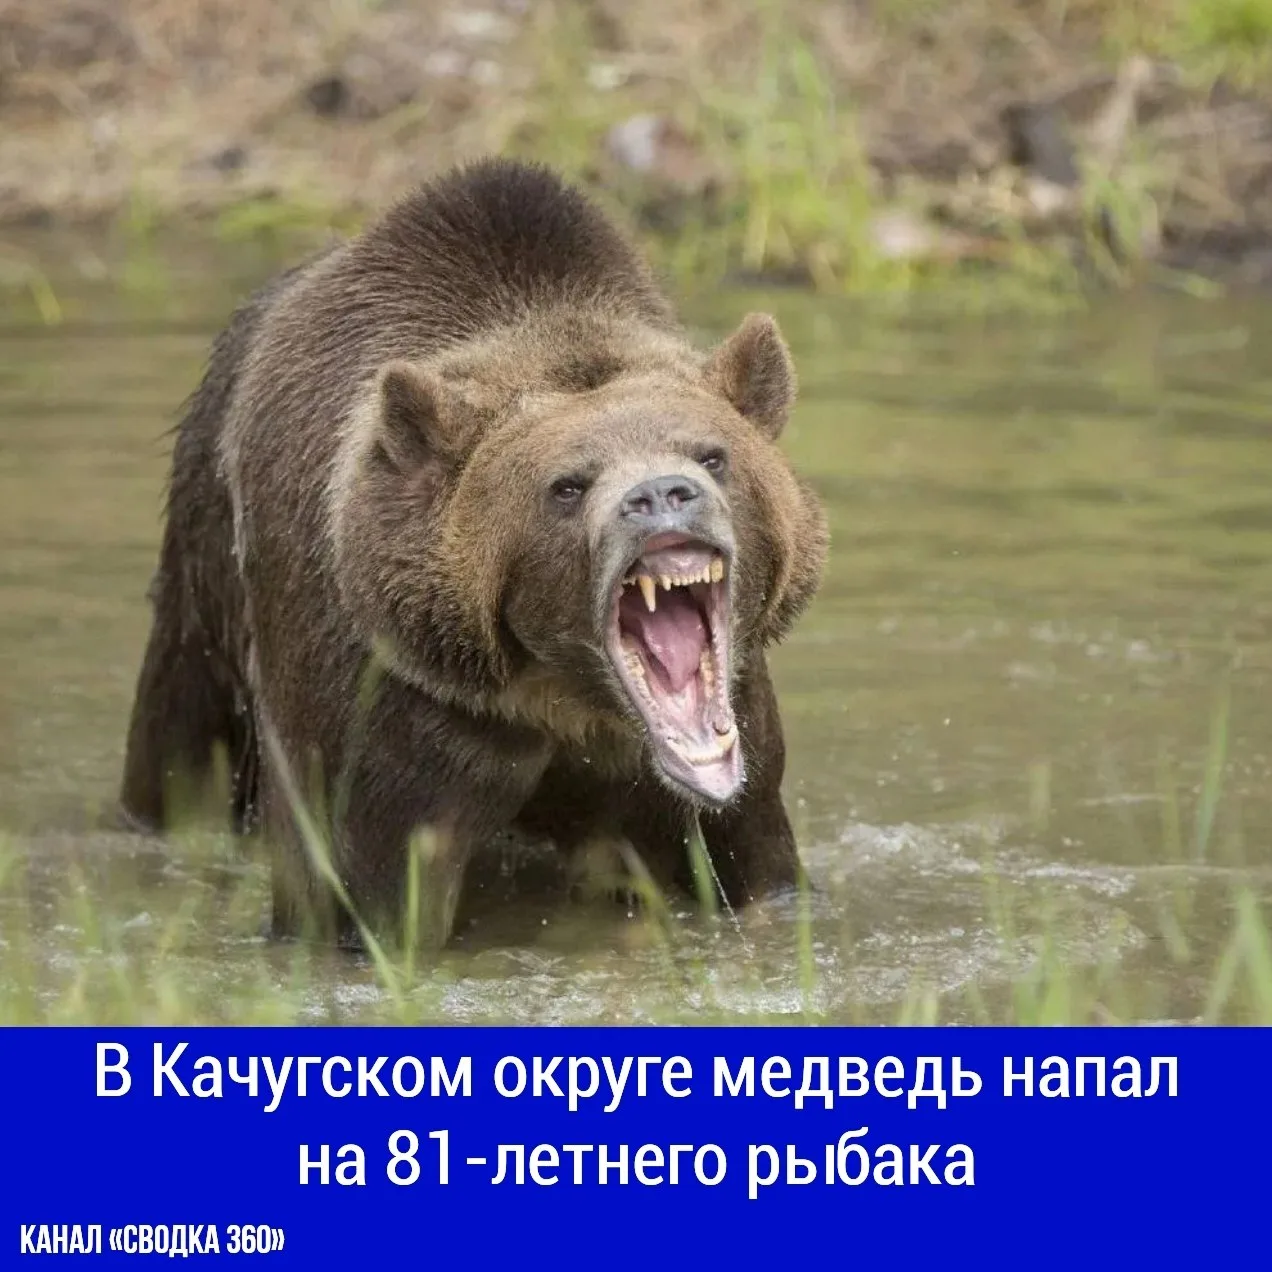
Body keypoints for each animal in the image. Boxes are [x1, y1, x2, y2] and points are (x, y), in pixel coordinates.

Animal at [119, 158, 828, 950]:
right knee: (181, 742)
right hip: (205, 570)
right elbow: (364, 888)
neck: (564, 695)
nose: (661, 494)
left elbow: (751, 856)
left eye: (712, 454)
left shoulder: (724, 747)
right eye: (567, 485)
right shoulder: (396, 709)